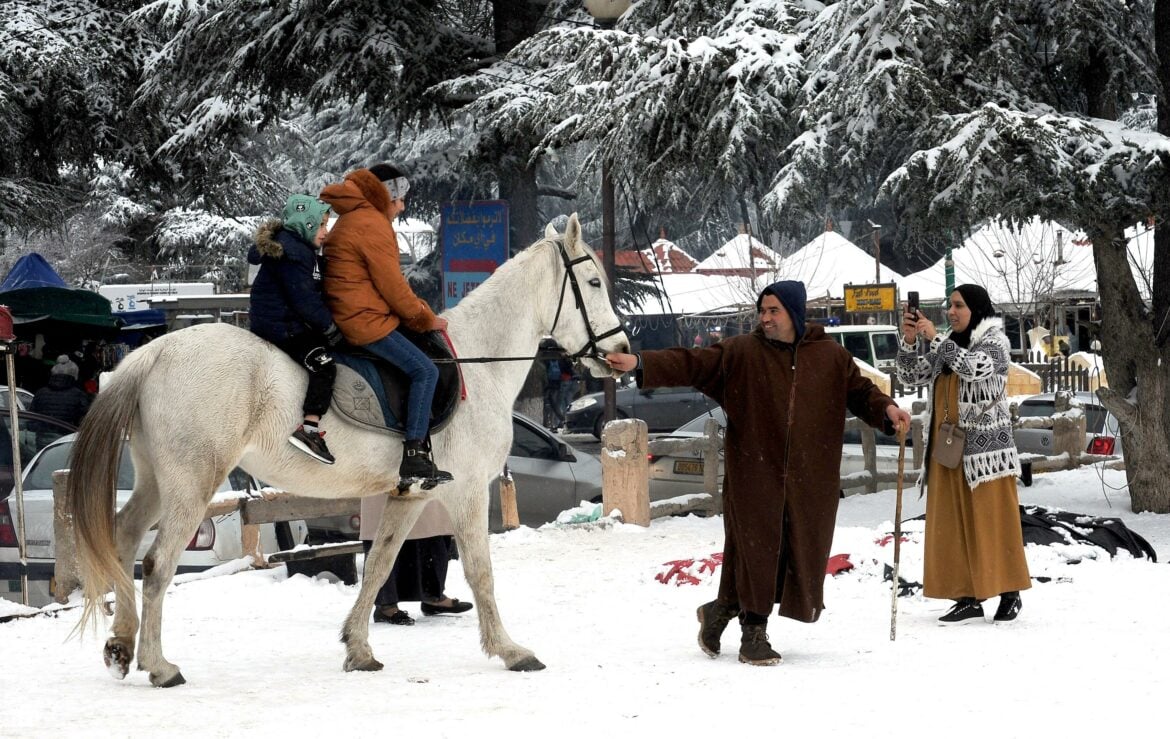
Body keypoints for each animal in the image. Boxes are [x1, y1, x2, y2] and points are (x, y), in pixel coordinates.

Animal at [67, 213, 627, 687]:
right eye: (594, 284)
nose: (622, 352)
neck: (476, 362)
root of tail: (156, 350)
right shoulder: (467, 492)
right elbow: (479, 573)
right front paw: (510, 652)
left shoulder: (411, 495)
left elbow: (379, 563)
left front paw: (358, 649)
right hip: (192, 482)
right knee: (157, 564)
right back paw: (159, 665)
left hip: (156, 481)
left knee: (123, 539)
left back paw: (120, 646)